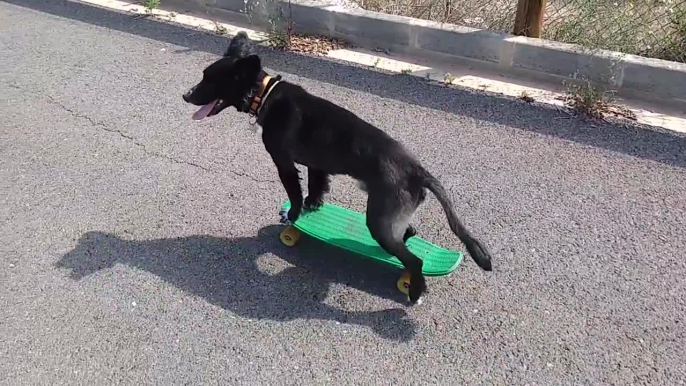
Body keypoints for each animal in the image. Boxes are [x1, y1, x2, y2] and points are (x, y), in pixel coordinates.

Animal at [183, 31, 494, 304]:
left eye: (209, 80)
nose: (186, 95)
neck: (266, 94)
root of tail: (416, 169)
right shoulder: (316, 165)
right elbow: (315, 188)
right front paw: (313, 207)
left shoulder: (284, 162)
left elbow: (294, 193)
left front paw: (293, 216)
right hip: (391, 218)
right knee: (409, 234)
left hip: (379, 220)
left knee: (414, 260)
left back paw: (414, 290)